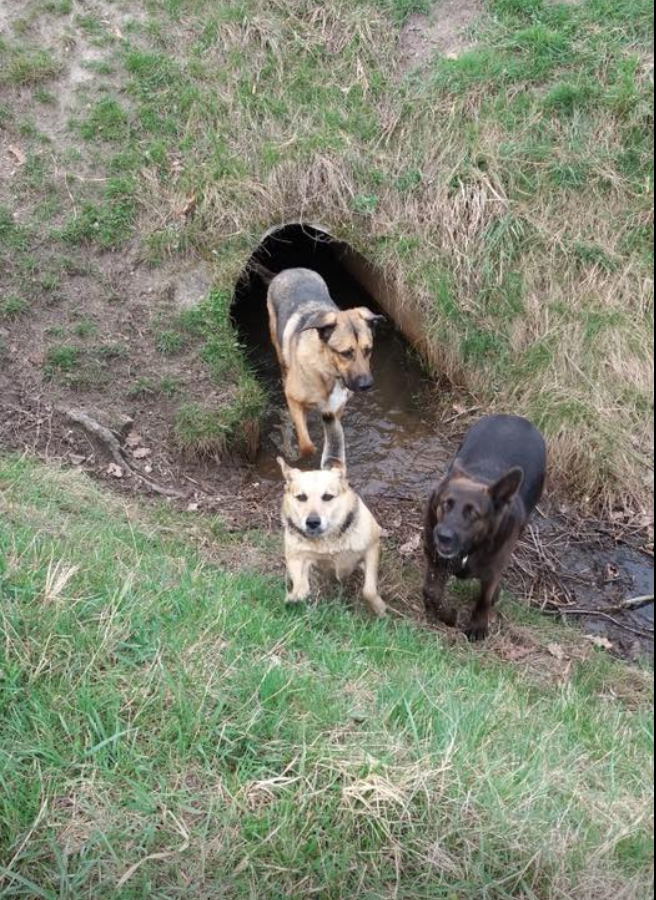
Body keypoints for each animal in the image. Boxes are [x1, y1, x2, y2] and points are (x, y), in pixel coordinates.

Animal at [266, 268, 382, 458]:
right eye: (346, 353)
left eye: (368, 349)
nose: (367, 385)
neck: (327, 371)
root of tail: (291, 270)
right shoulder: (293, 400)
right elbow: (306, 445)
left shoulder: (336, 409)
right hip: (277, 341)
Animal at [278, 458, 390, 620]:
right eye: (301, 497)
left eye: (327, 497)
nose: (312, 522)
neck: (328, 541)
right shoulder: (296, 557)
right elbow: (301, 588)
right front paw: (293, 597)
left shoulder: (372, 548)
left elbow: (368, 590)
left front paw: (379, 608)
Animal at [422, 414, 544, 640]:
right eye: (446, 504)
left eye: (473, 513)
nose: (442, 536)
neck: (470, 549)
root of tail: (517, 418)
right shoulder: (436, 560)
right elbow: (431, 592)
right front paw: (448, 615)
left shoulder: (493, 568)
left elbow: (484, 599)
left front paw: (478, 625)